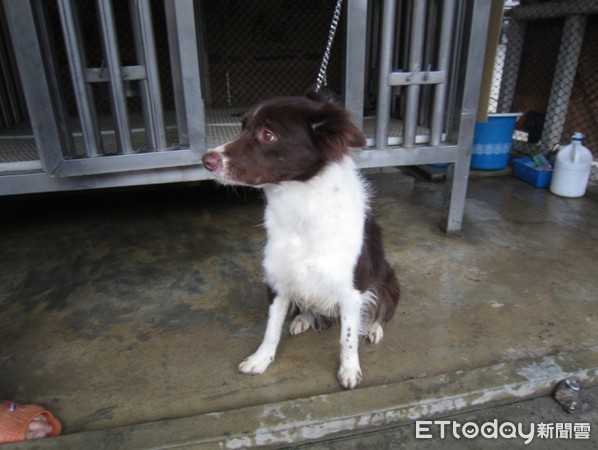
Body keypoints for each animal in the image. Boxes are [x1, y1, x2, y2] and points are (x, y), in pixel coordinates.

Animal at [203, 94, 404, 386]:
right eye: (242, 127)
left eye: (268, 134)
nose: (205, 160)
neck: (301, 203)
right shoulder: (277, 281)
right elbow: (271, 329)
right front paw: (260, 360)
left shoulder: (351, 290)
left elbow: (348, 338)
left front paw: (349, 369)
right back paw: (302, 319)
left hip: (389, 280)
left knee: (381, 309)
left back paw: (374, 329)